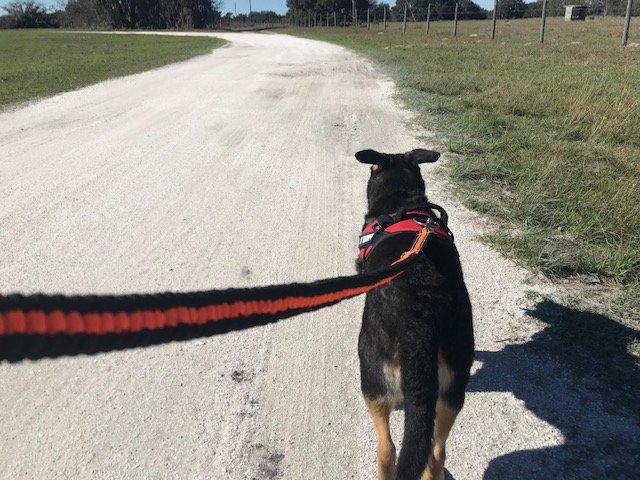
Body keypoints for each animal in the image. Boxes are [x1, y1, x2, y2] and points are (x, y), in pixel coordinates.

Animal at [356, 149, 476, 480]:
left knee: (387, 451)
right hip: (453, 386)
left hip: (372, 378)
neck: (402, 203)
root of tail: (420, 323)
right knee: (435, 453)